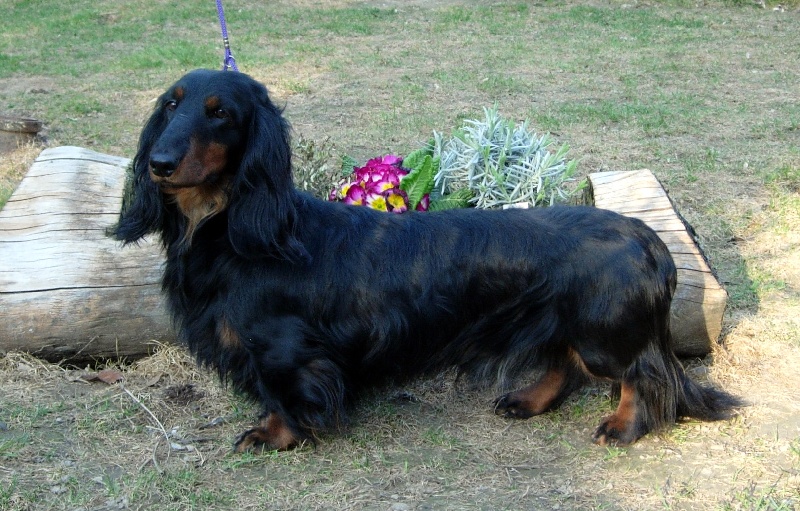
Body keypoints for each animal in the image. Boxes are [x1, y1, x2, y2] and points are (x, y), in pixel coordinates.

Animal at [115, 69, 740, 452]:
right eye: (170, 105)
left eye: (220, 113)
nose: (160, 163)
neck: (231, 228)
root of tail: (650, 237)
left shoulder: (281, 349)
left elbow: (284, 396)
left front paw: (274, 434)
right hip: (556, 322)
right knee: (564, 366)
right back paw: (527, 400)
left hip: (606, 334)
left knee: (643, 376)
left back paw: (621, 427)